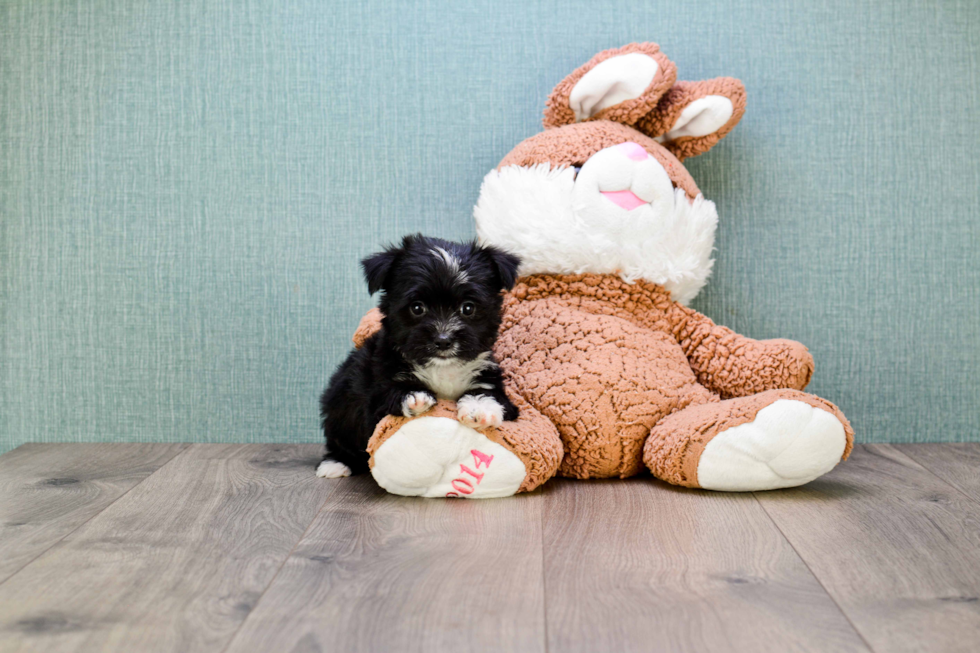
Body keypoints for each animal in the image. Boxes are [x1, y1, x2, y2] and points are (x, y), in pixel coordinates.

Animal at [320, 234, 520, 478]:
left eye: (468, 308)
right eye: (417, 308)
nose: (443, 340)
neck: (443, 368)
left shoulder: (490, 378)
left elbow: (490, 394)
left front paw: (479, 408)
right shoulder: (377, 387)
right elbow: (386, 397)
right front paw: (413, 395)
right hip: (340, 401)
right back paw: (336, 463)